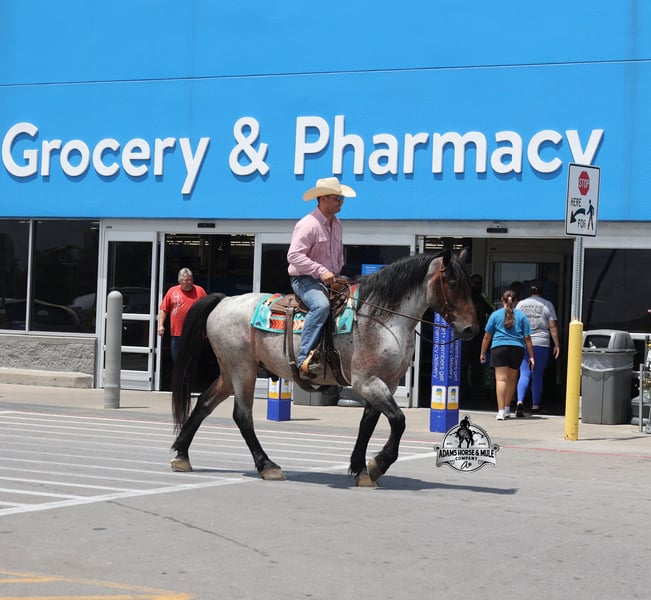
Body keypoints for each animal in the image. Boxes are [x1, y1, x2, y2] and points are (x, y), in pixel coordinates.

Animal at [170, 248, 479, 487]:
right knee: (242, 416)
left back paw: (181, 455)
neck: (381, 317)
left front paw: (361, 469)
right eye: (452, 281)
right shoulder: (367, 381)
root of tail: (223, 302)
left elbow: (368, 423)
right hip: (242, 370)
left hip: (229, 371)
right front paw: (378, 464)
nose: (471, 329)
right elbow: (398, 421)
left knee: (204, 404)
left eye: (471, 285)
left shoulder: (384, 383)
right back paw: (267, 465)